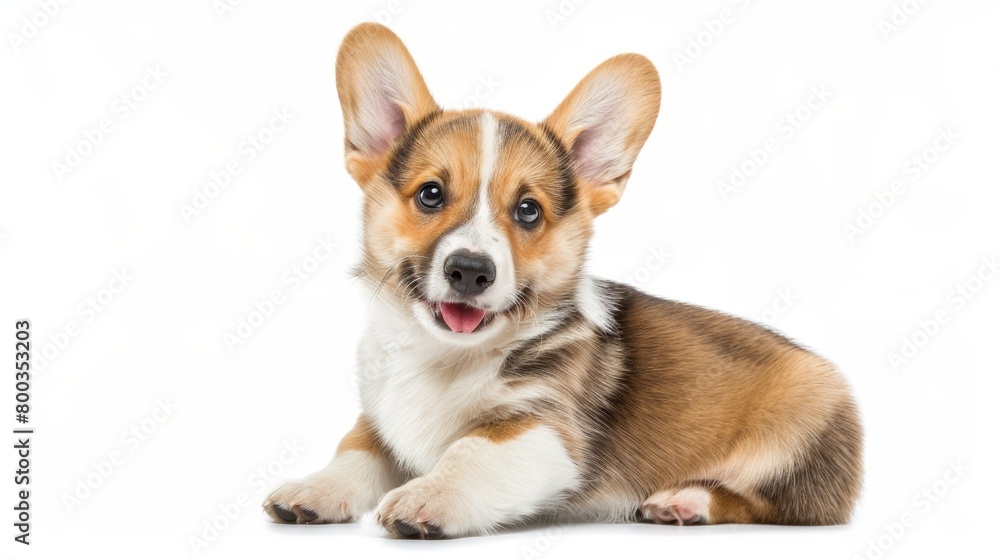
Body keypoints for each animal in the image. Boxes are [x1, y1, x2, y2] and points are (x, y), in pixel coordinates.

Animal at [262, 21, 864, 540]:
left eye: (528, 211)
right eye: (430, 194)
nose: (470, 270)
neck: (444, 358)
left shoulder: (545, 431)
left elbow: (470, 450)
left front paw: (428, 496)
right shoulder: (380, 419)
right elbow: (355, 449)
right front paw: (314, 488)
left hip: (799, 430)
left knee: (774, 504)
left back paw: (685, 500)